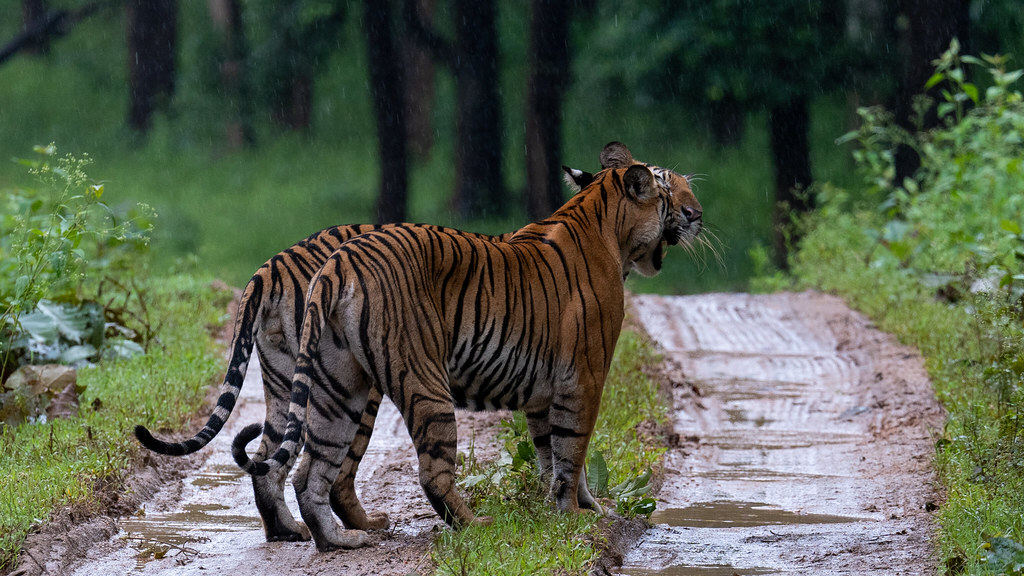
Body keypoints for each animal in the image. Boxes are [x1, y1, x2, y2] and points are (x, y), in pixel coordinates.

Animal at [132, 172, 598, 541]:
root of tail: (273, 265)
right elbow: (568, 446)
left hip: (285, 379)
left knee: (269, 458)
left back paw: (289, 530)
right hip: (354, 382)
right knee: (332, 470)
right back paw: (357, 527)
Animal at [228, 141, 700, 549]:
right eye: (669, 187)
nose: (696, 213)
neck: (605, 224)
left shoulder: (544, 394)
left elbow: (551, 453)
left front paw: (563, 510)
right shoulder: (584, 377)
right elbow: (573, 451)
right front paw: (576, 515)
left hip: (332, 387)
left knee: (302, 469)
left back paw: (329, 538)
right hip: (421, 382)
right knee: (427, 472)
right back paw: (474, 525)